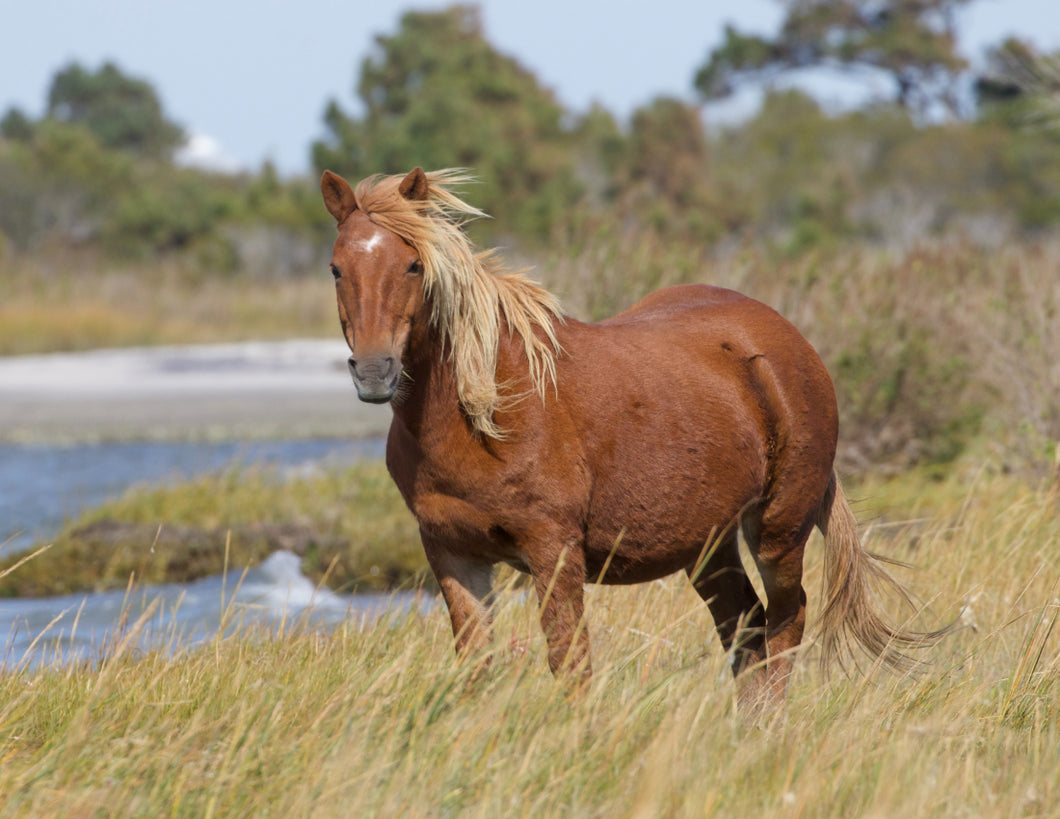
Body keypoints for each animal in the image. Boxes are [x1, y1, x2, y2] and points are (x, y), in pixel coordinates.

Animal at [317, 166, 941, 707]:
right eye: (336, 268)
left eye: (412, 266)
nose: (374, 372)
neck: (486, 408)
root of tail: (791, 342)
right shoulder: (452, 554)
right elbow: (476, 669)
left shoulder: (553, 551)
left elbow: (570, 664)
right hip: (709, 545)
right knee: (744, 630)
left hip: (778, 532)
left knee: (786, 624)